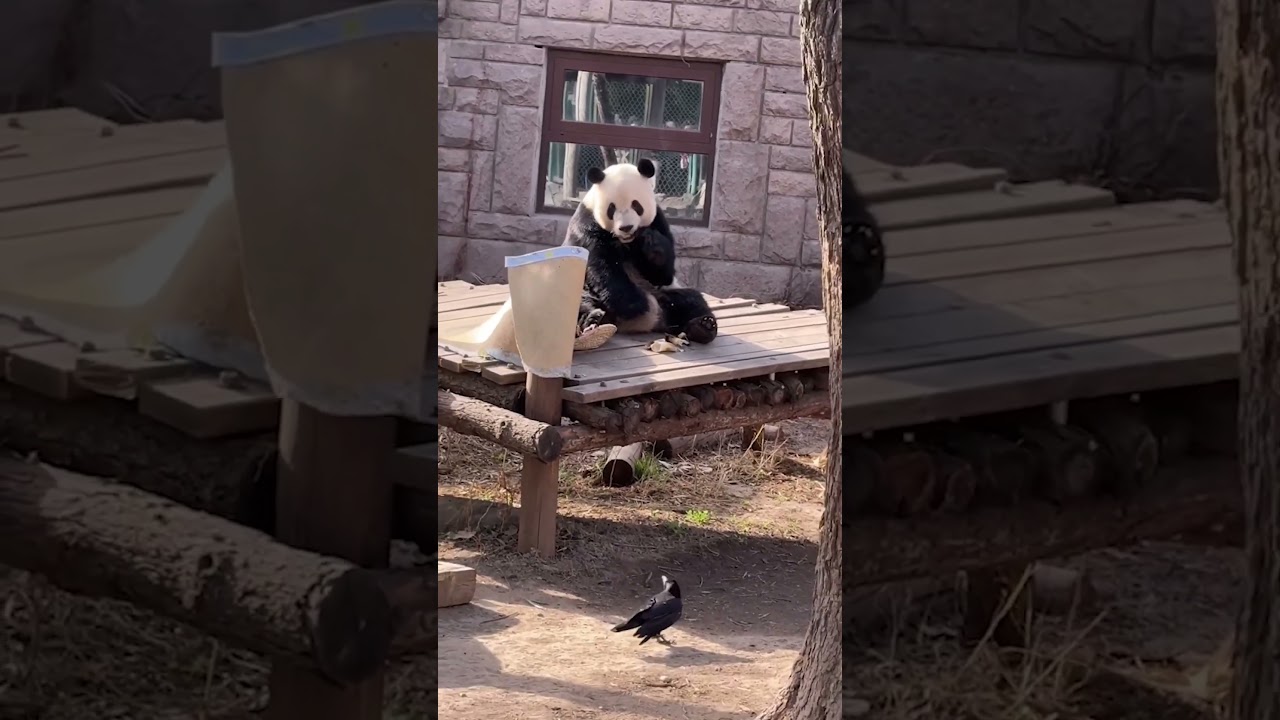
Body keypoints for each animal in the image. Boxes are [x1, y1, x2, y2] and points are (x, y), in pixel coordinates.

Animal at [562, 158, 719, 344]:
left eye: (636, 205)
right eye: (611, 208)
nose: (626, 227)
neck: (627, 241)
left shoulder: (658, 220)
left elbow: (663, 273)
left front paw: (652, 244)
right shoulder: (587, 223)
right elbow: (602, 266)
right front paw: (636, 305)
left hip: (665, 293)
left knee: (691, 300)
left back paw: (703, 327)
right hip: (582, 287)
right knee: (578, 301)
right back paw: (594, 319)